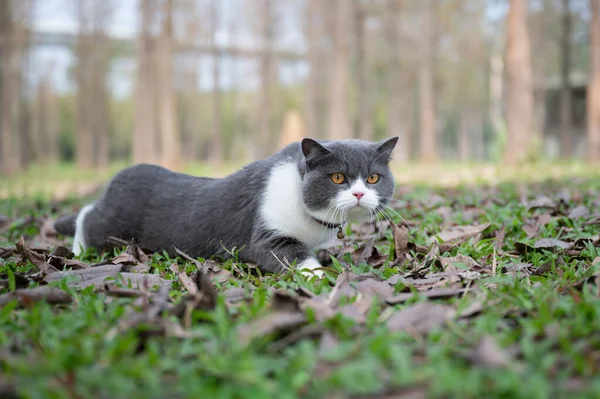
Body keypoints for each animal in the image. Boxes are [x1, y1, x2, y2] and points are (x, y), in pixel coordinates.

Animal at [54, 138, 396, 278]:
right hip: (113, 221)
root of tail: (115, 180)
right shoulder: (266, 236)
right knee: (88, 216)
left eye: (373, 178)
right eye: (338, 177)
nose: (359, 193)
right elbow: (293, 257)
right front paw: (323, 277)